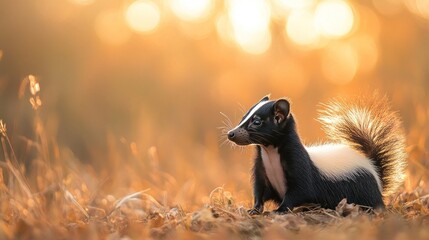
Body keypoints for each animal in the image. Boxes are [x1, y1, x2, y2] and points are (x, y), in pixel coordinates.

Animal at [226, 94, 406, 214]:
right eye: (243, 117)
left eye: (256, 122)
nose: (231, 133)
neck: (270, 153)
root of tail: (372, 166)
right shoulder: (262, 169)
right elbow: (260, 191)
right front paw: (254, 209)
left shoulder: (299, 165)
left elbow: (299, 191)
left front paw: (279, 210)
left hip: (364, 188)